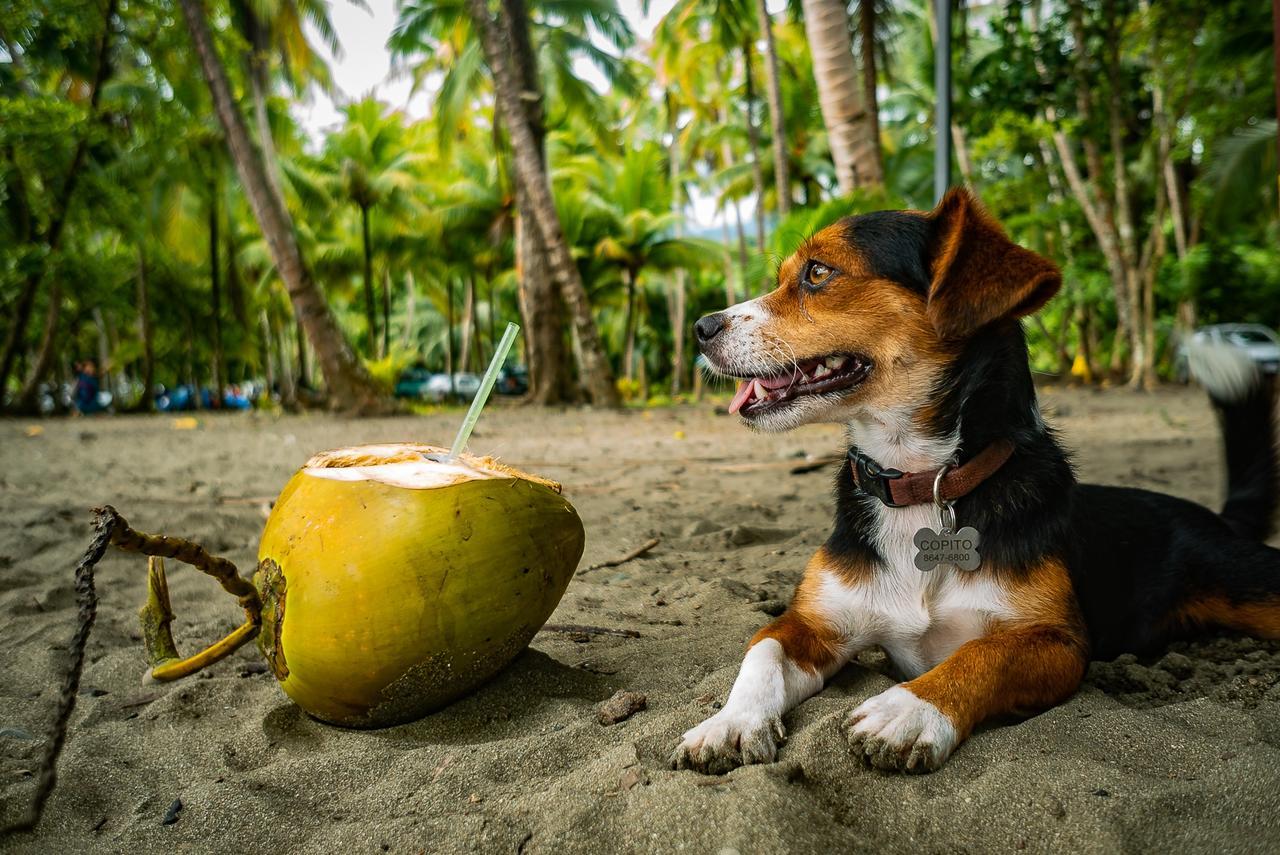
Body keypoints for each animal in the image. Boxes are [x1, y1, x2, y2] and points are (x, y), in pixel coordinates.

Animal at [675, 186, 1274, 773]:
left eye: (818, 272)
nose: (700, 329)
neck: (922, 481)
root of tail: (1211, 515)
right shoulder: (811, 622)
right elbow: (762, 651)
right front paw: (729, 723)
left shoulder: (1056, 642)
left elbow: (983, 653)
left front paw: (909, 710)